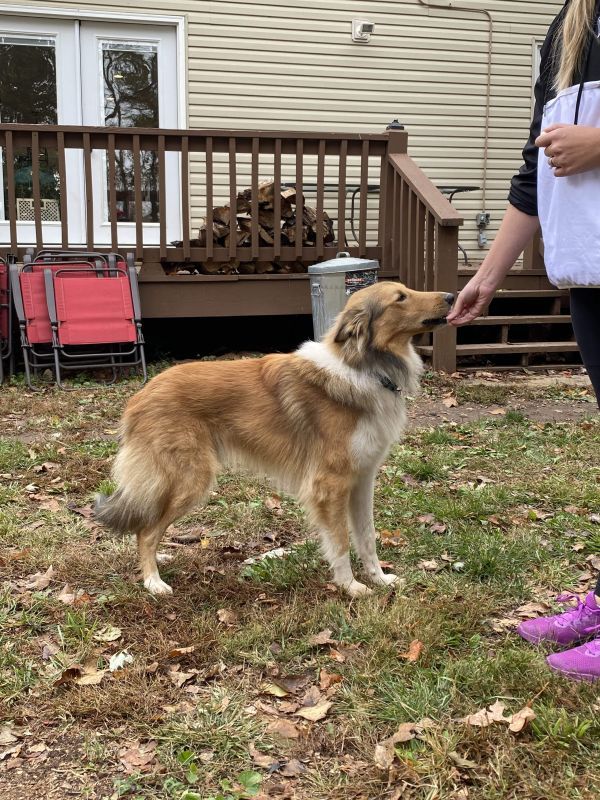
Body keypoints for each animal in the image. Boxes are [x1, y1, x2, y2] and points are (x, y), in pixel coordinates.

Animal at [95, 278, 450, 596]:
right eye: (400, 297)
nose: (450, 296)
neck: (363, 367)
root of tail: (140, 396)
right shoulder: (330, 485)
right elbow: (339, 541)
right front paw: (350, 587)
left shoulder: (362, 480)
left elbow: (367, 536)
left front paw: (380, 579)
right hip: (190, 479)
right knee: (145, 531)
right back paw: (153, 581)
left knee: (148, 526)